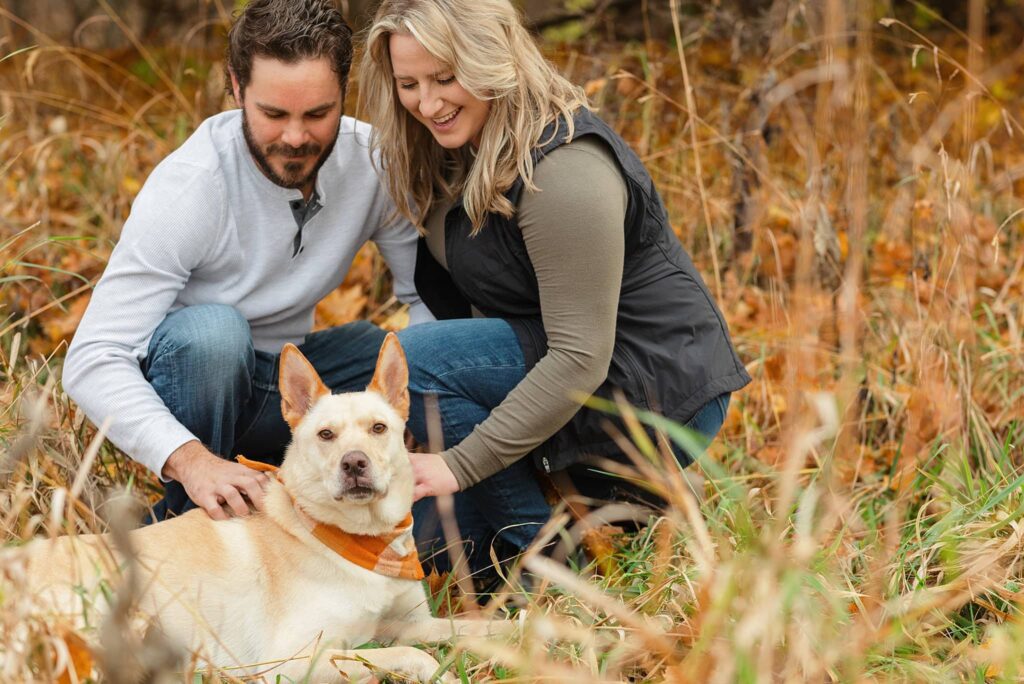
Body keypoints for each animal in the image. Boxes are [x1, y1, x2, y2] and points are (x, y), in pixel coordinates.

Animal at [8, 333, 503, 679]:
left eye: (378, 428)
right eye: (326, 435)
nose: (354, 464)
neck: (361, 540)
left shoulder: (407, 622)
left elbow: (470, 627)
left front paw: (514, 632)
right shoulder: (294, 657)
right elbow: (408, 654)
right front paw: (440, 673)